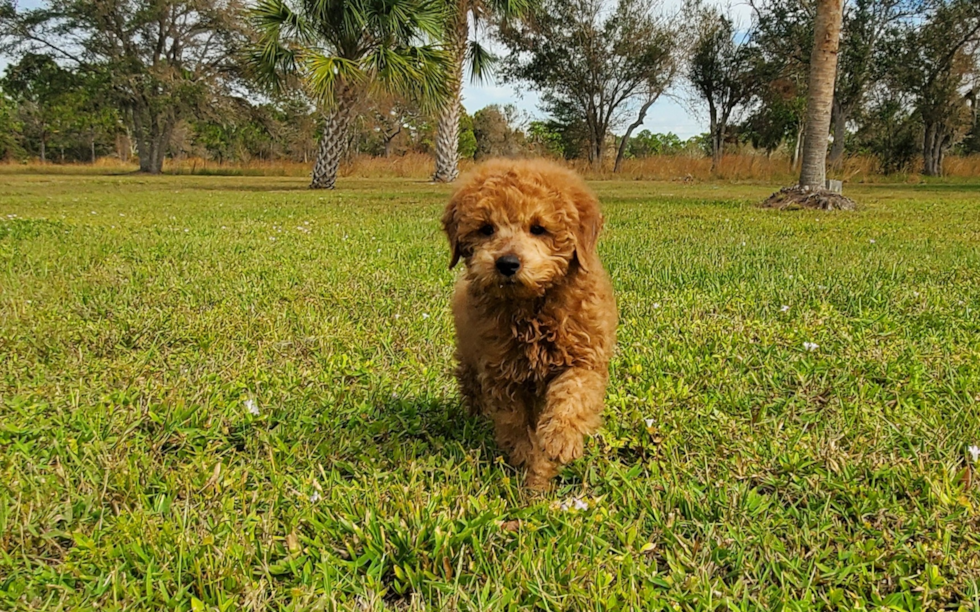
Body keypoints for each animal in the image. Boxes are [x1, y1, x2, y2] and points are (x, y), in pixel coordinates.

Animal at [446, 160, 620, 490]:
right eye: (486, 229)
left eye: (538, 228)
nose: (507, 263)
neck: (532, 309)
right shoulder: (502, 375)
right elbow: (515, 425)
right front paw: (530, 470)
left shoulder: (586, 355)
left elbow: (575, 393)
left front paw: (559, 440)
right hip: (470, 361)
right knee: (472, 387)